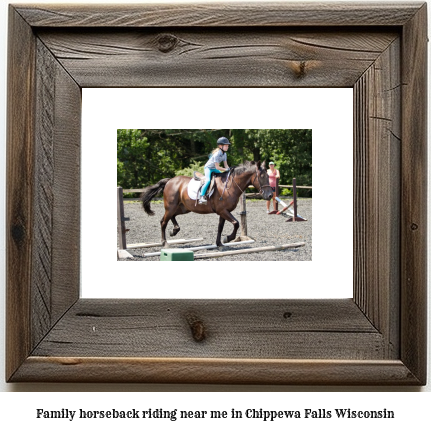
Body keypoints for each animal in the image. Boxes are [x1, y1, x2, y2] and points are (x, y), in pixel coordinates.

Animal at [140, 160, 272, 246]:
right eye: (261, 176)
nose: (270, 195)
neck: (229, 185)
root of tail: (169, 181)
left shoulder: (223, 212)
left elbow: (220, 227)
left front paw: (219, 243)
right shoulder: (223, 211)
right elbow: (236, 223)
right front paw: (228, 238)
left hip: (183, 208)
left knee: (172, 217)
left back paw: (174, 231)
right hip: (171, 206)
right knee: (163, 221)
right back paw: (164, 242)